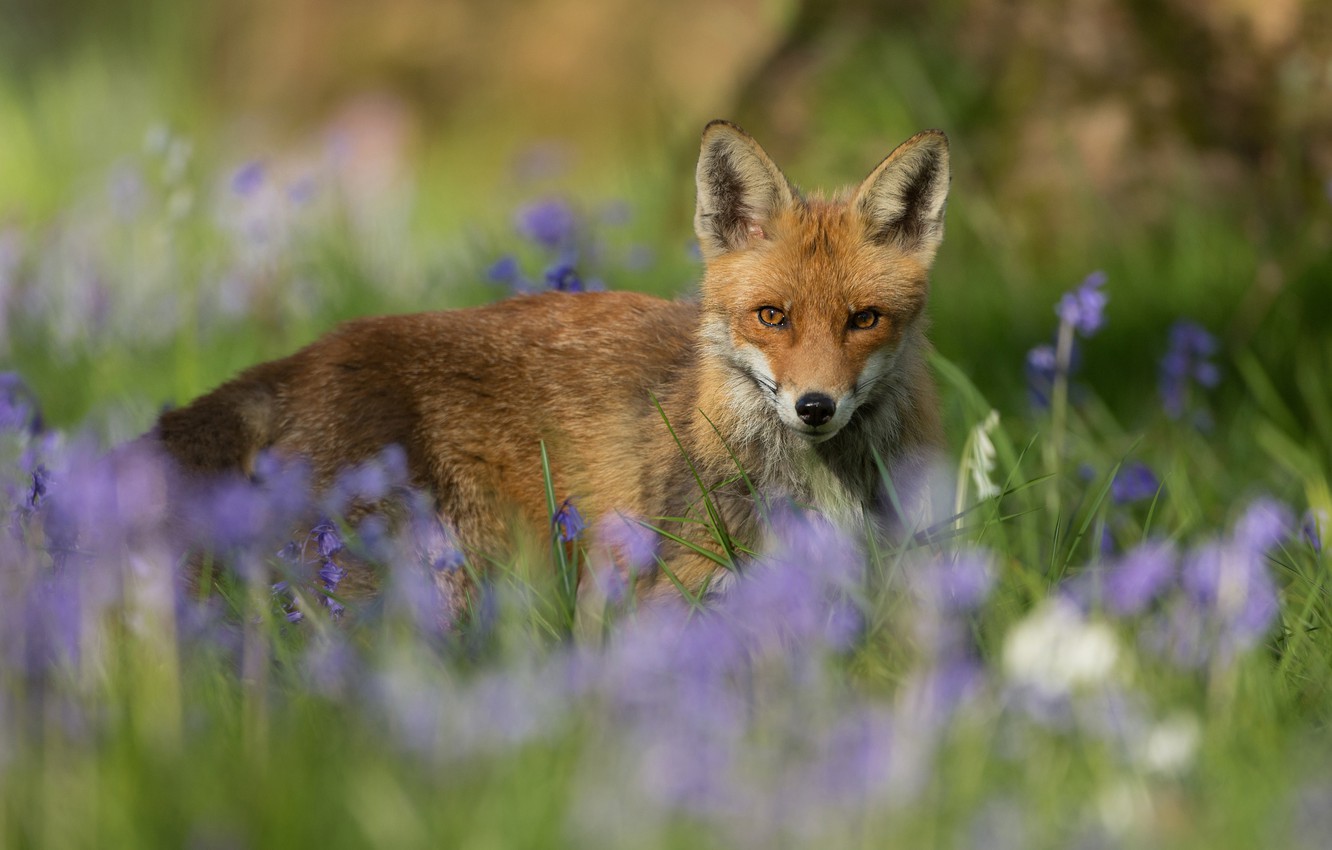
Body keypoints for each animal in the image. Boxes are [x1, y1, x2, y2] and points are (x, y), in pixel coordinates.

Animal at [153, 121, 948, 612]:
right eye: (772, 316)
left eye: (863, 320)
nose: (815, 406)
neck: (818, 480)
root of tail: (313, 352)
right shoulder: (678, 588)